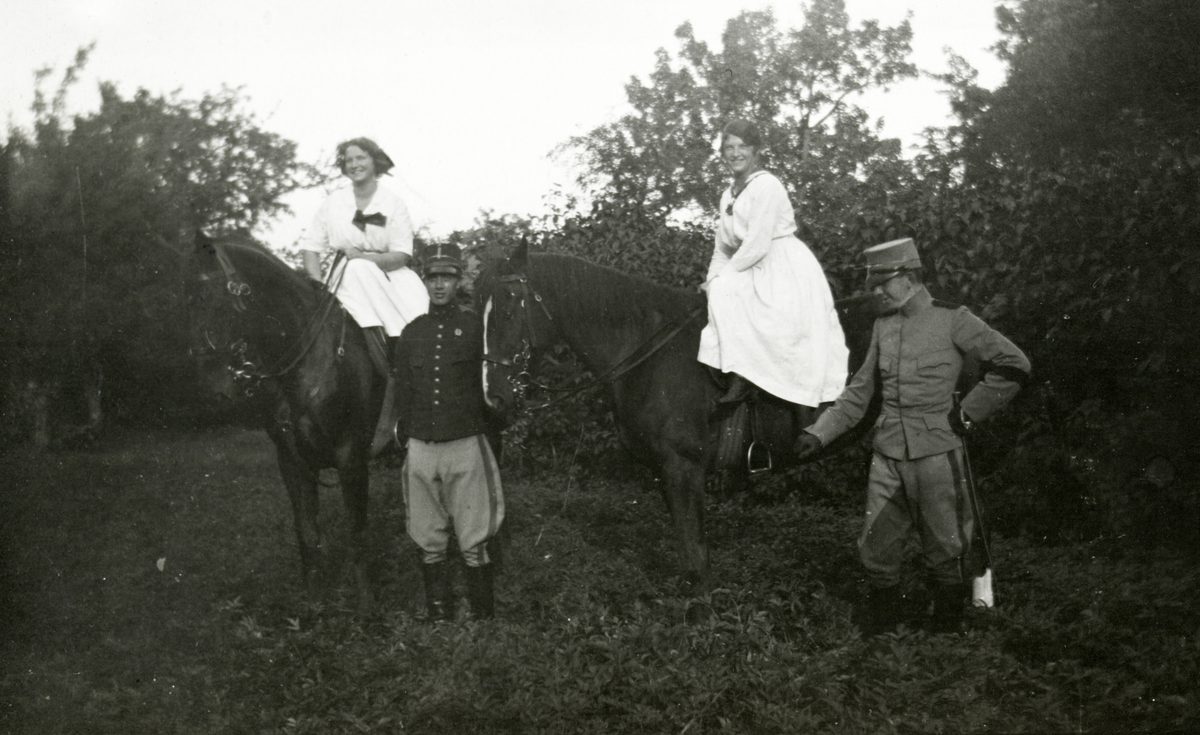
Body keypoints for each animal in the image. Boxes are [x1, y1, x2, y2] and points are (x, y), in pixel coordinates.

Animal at [183, 232, 385, 612]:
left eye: (211, 293)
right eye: (184, 299)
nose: (211, 389)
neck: (308, 363)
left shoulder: (351, 457)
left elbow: (357, 529)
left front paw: (368, 608)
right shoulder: (292, 462)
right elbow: (306, 533)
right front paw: (314, 607)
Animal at [478, 242, 881, 594]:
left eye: (508, 311)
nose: (493, 397)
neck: (649, 353)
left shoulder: (683, 466)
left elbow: (695, 551)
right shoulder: (664, 470)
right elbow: (689, 551)